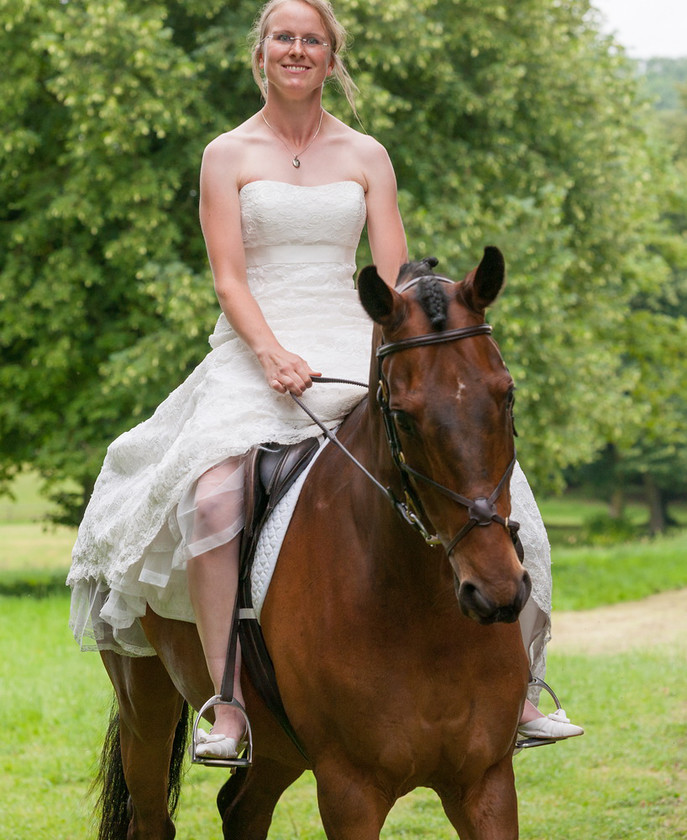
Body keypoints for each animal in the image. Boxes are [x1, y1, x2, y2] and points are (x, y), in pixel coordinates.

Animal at [98, 248, 532, 840]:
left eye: (506, 395)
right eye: (403, 417)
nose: (494, 592)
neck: (423, 612)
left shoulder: (486, 781)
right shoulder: (350, 791)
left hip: (275, 749)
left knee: (241, 807)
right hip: (144, 704)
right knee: (154, 817)